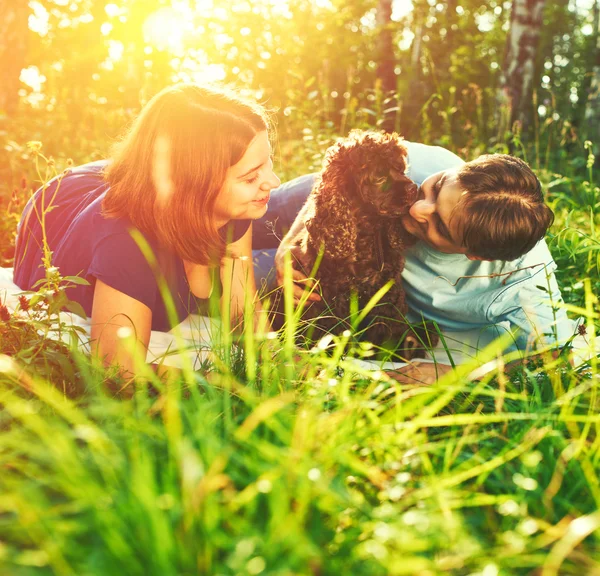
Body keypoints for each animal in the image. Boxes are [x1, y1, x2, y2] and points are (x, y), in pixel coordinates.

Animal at [284, 129, 438, 360]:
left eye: (400, 169)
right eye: (380, 177)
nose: (414, 188)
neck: (365, 238)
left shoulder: (388, 297)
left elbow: (388, 330)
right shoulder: (330, 303)